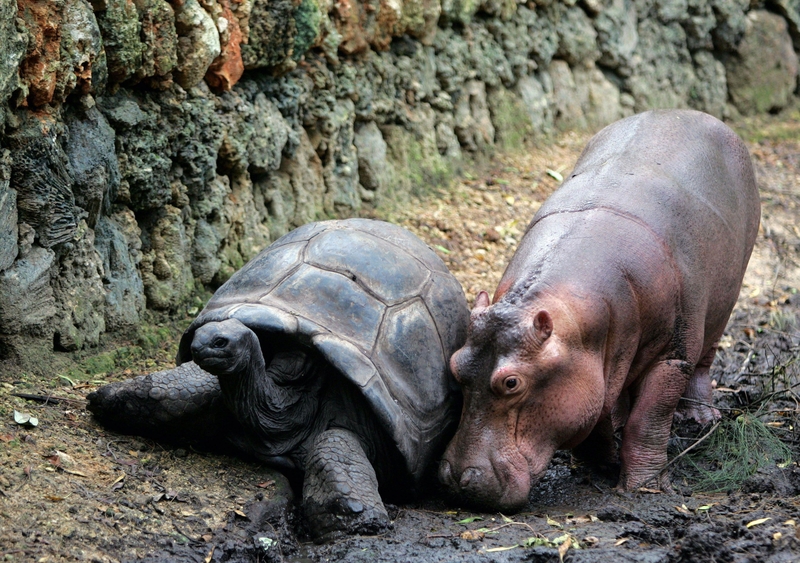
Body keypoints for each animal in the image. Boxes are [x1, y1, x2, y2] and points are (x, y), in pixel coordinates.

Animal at [440, 109, 760, 512]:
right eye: (455, 365)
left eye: (511, 382)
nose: (458, 478)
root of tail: (690, 112)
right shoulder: (590, 365)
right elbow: (594, 418)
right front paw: (603, 463)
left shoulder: (671, 357)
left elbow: (649, 420)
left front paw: (642, 489)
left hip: (723, 300)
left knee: (705, 359)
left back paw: (699, 417)